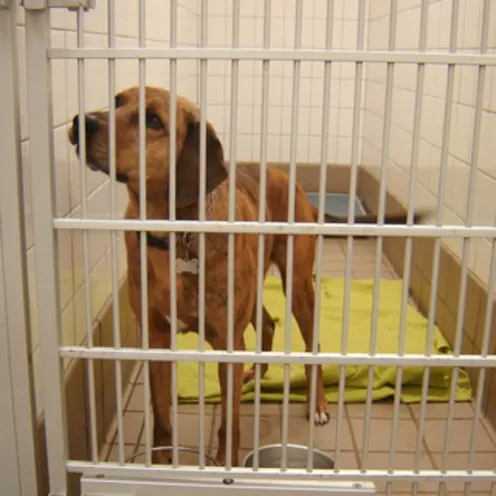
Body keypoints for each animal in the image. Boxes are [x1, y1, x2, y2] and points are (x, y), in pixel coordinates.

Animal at [69, 84, 426, 464]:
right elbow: (162, 419)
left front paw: (226, 464)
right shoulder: (157, 340)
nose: (82, 122)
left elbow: (229, 425)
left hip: (297, 287)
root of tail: (295, 185)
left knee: (311, 345)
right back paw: (255, 373)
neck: (173, 235)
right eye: (116, 101)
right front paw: (161, 464)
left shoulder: (228, 341)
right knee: (267, 325)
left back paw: (316, 404)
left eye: (152, 120)